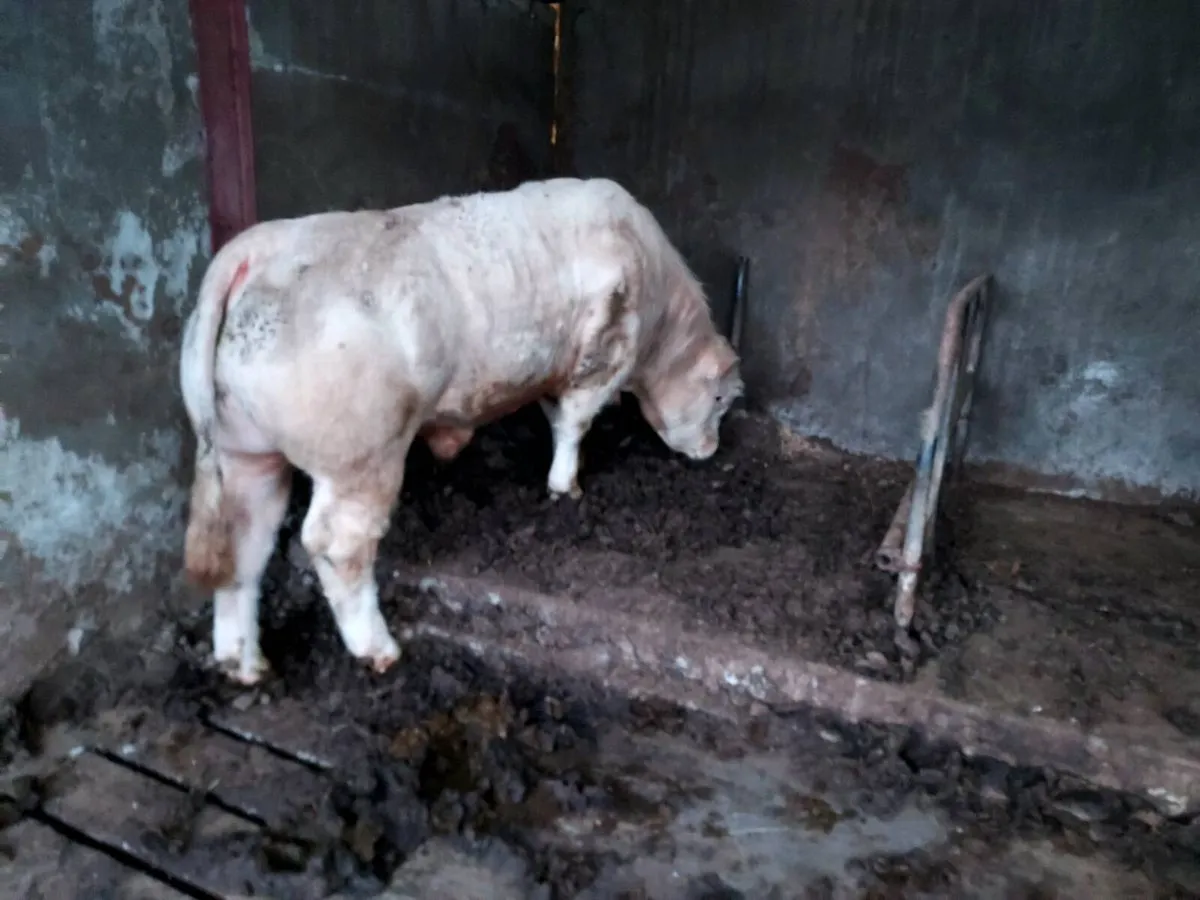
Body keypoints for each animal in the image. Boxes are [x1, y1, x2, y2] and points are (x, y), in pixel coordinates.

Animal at [180, 177, 743, 685]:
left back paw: (243, 664)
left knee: (243, 546)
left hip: (245, 456)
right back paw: (377, 648)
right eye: (720, 400)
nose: (710, 450)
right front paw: (567, 486)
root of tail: (256, 249)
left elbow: (554, 415)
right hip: (361, 459)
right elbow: (575, 423)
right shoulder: (600, 361)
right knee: (338, 546)